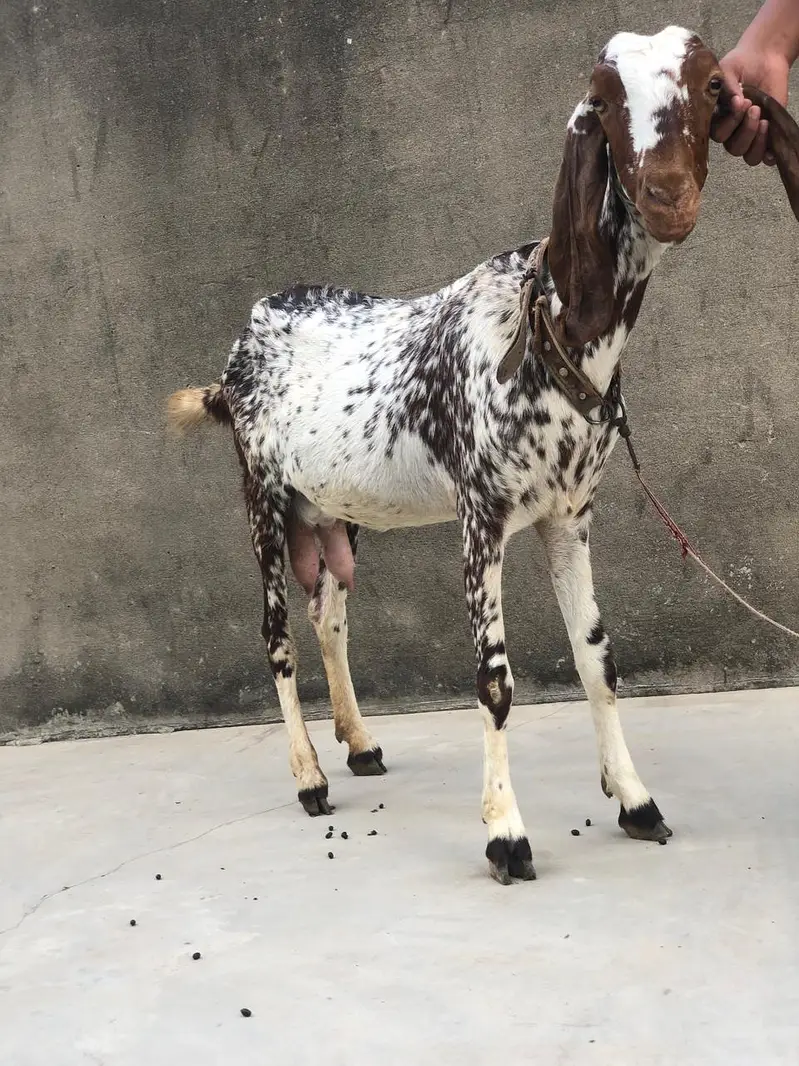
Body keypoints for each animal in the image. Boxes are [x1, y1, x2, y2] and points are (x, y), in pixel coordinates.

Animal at [168, 27, 798, 884]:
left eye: (708, 87)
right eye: (602, 102)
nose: (666, 195)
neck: (544, 328)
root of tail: (241, 346)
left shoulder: (568, 515)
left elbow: (597, 658)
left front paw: (635, 800)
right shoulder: (482, 516)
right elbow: (494, 681)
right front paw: (505, 834)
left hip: (333, 506)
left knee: (329, 611)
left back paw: (358, 745)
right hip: (262, 496)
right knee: (275, 634)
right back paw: (308, 778)